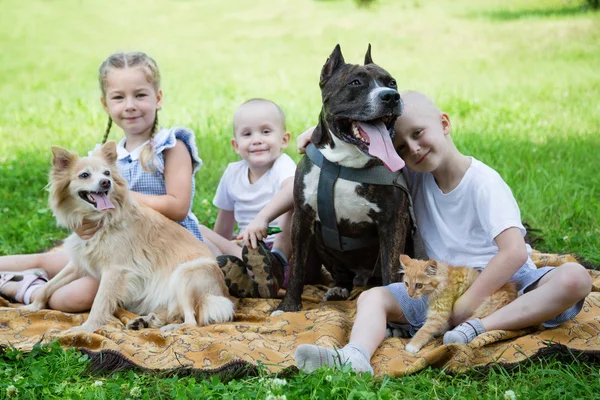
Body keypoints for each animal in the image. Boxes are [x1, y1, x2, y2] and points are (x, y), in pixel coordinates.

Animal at [21, 141, 233, 332]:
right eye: (84, 175)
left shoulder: (114, 271)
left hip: (185, 275)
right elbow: (48, 286)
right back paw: (144, 321)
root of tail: (222, 293)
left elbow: (99, 302)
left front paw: (85, 329)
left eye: (107, 173)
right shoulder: (79, 263)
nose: (106, 182)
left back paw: (173, 328)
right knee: (172, 313)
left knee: (192, 321)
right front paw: (33, 307)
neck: (102, 220)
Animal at [278, 45, 412, 314]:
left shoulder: (394, 222)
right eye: (355, 83)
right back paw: (339, 288)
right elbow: (296, 267)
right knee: (341, 275)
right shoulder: (303, 217)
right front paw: (288, 307)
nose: (391, 96)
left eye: (392, 82)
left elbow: (392, 269)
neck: (345, 164)